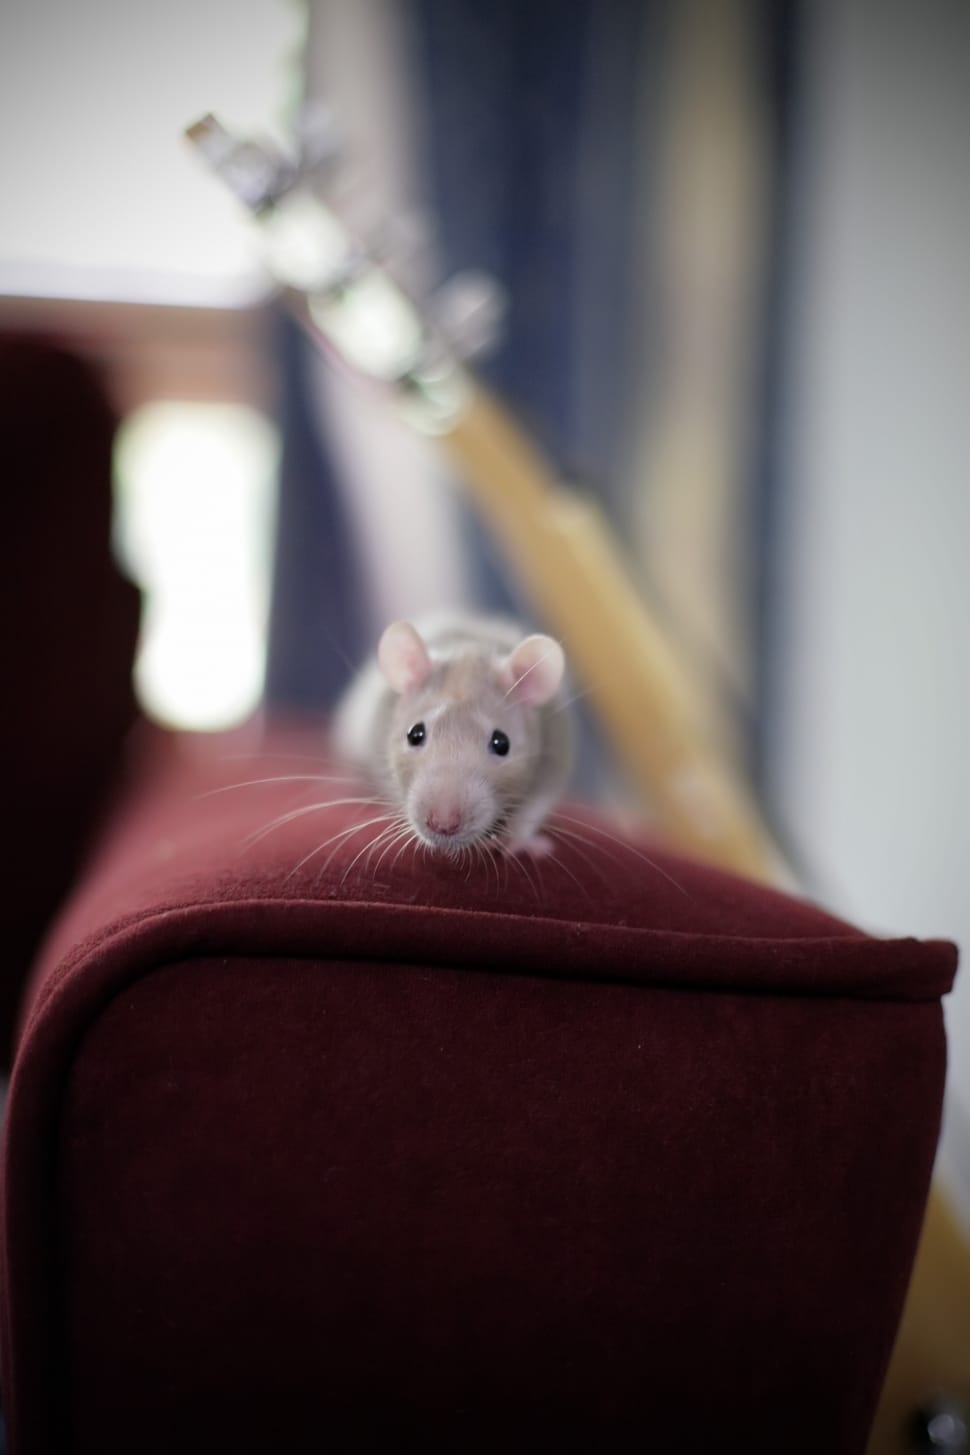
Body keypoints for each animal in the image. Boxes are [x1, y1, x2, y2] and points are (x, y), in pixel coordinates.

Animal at [332, 613, 573, 856]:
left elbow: (538, 802)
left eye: (502, 743)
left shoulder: (554, 746)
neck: (470, 647)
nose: (443, 824)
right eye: (414, 734)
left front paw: (517, 841)